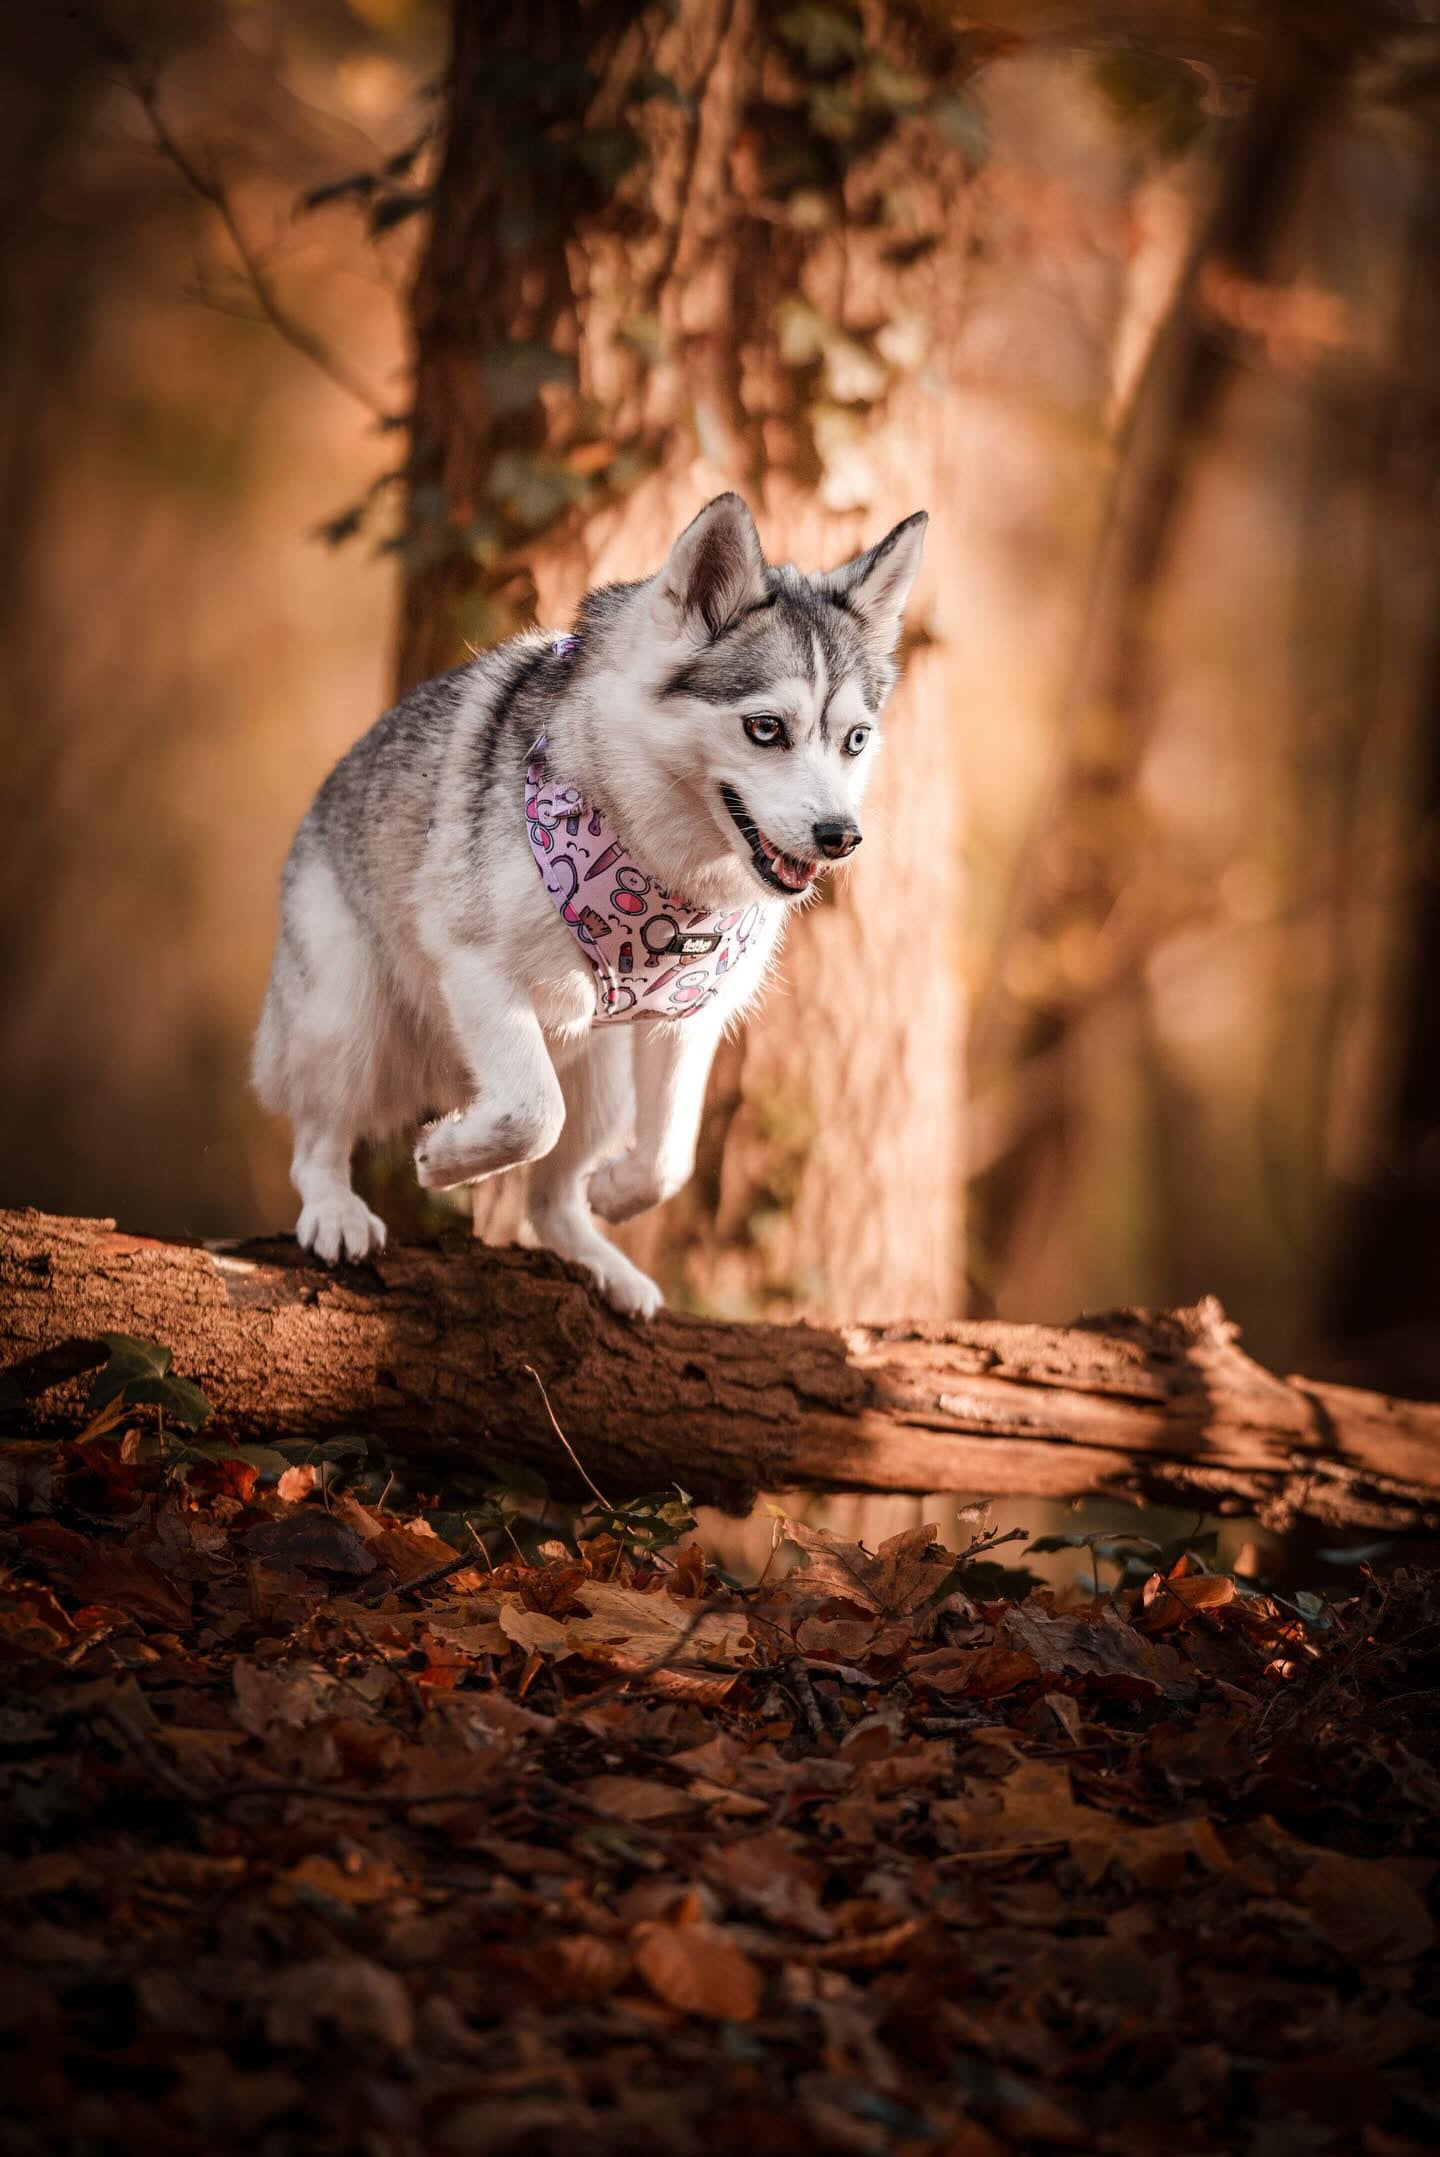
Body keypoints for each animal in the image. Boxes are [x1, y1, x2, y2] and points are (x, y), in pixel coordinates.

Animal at [253, 493, 926, 1311]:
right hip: (342, 1013)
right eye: (766, 728)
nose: (841, 836)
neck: (664, 870)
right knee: (320, 1135)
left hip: (602, 1072)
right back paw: (335, 1208)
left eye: (855, 739)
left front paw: (619, 1188)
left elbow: (668, 1158)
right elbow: (530, 1114)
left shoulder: (688, 1017)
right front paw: (446, 1154)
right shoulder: (477, 972)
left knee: (551, 1199)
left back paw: (598, 1258)